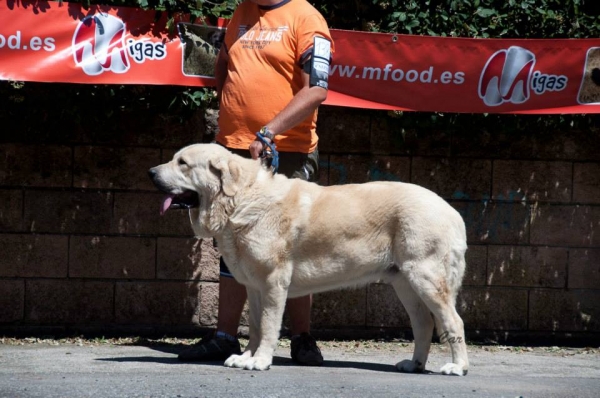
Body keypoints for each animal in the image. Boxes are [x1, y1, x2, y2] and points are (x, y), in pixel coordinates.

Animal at [149, 145, 468, 374]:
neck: (240, 200)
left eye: (182, 163)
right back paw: (414, 364)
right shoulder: (254, 287)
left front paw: (260, 361)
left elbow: (268, 325)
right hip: (404, 283)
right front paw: (246, 357)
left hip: (425, 277)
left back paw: (458, 366)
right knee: (424, 323)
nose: (151, 172)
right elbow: (254, 325)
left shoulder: (273, 282)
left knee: (453, 321)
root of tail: (452, 211)